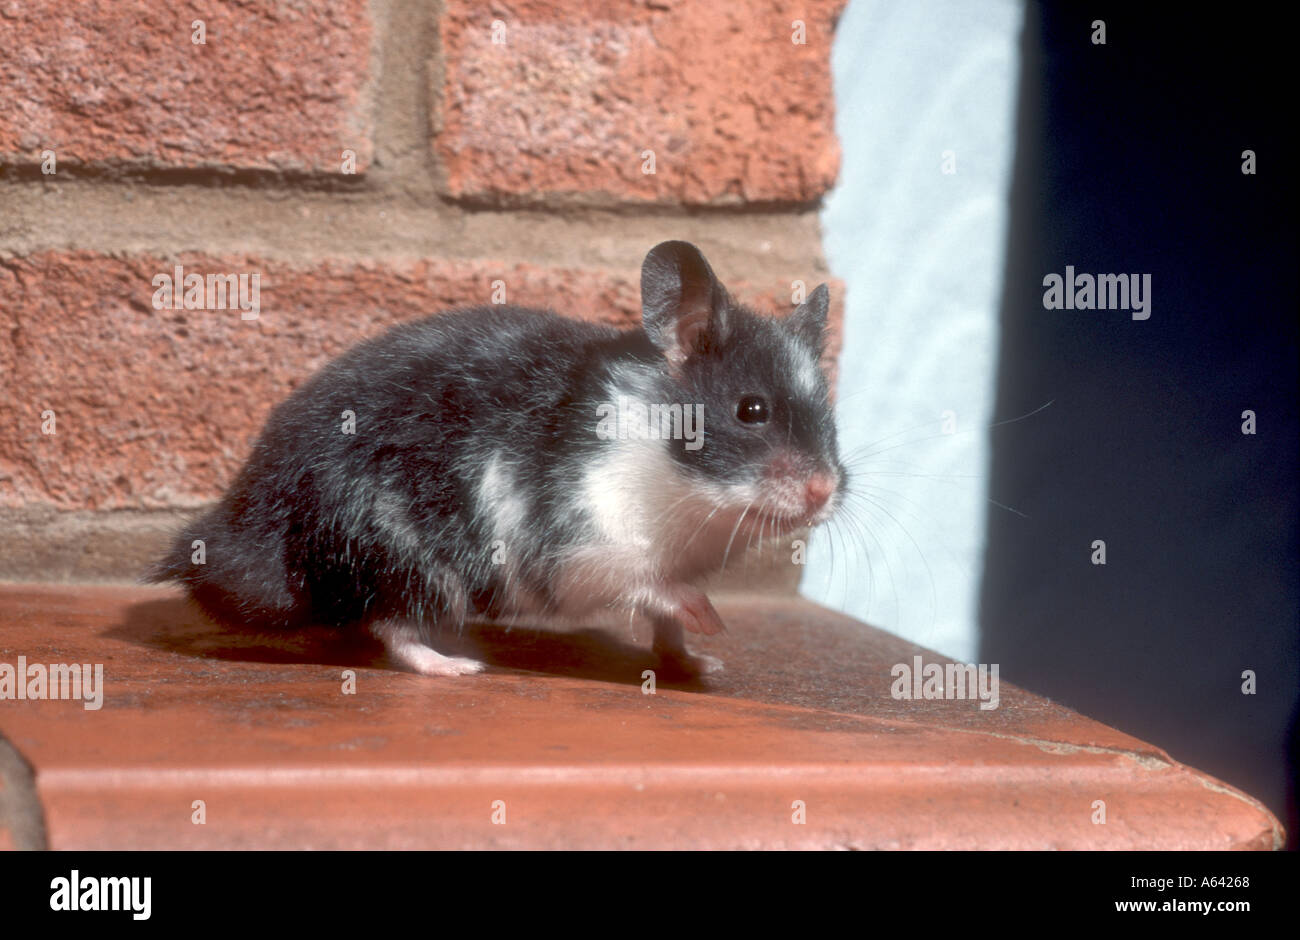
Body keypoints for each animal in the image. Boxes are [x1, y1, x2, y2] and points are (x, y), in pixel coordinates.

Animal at [149, 241, 845, 677]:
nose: (824, 491)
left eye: (832, 419)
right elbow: (660, 591)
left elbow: (663, 624)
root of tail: (239, 524)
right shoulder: (588, 543)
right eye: (751, 410)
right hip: (398, 551)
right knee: (390, 625)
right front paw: (714, 623)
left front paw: (703, 661)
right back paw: (456, 666)